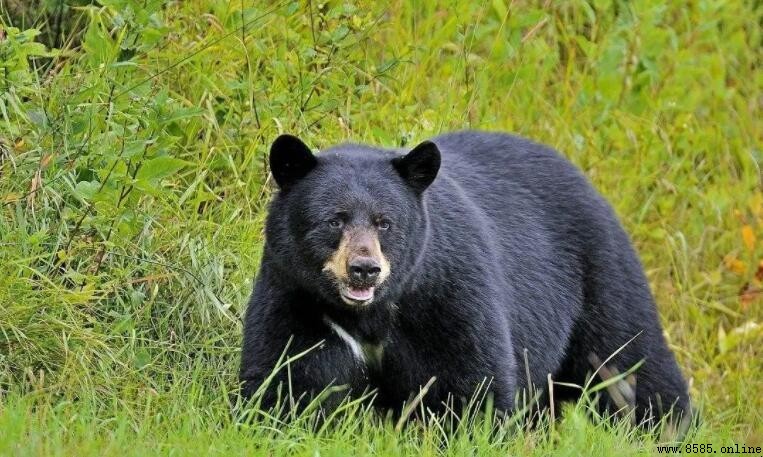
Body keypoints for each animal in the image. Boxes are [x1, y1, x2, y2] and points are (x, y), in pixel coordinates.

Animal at [239, 130, 691, 427]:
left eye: (385, 222)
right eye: (335, 220)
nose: (364, 269)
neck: (370, 313)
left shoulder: (447, 292)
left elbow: (471, 382)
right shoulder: (296, 294)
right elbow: (289, 374)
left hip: (600, 276)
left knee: (630, 360)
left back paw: (668, 426)